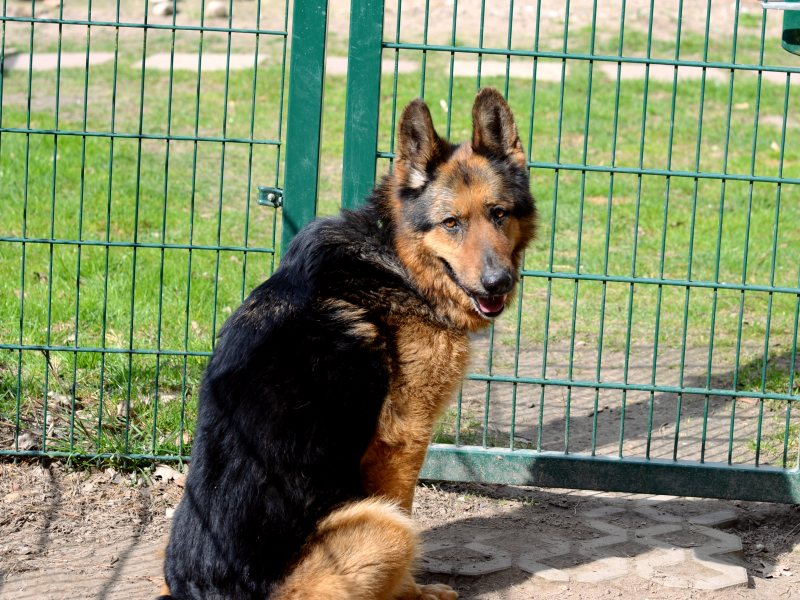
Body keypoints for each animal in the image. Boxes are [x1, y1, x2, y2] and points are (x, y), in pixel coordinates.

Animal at [158, 87, 536, 600]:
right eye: (451, 223)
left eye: (499, 214)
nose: (499, 283)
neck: (396, 255)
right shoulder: (403, 440)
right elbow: (405, 508)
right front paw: (413, 592)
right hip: (384, 530)